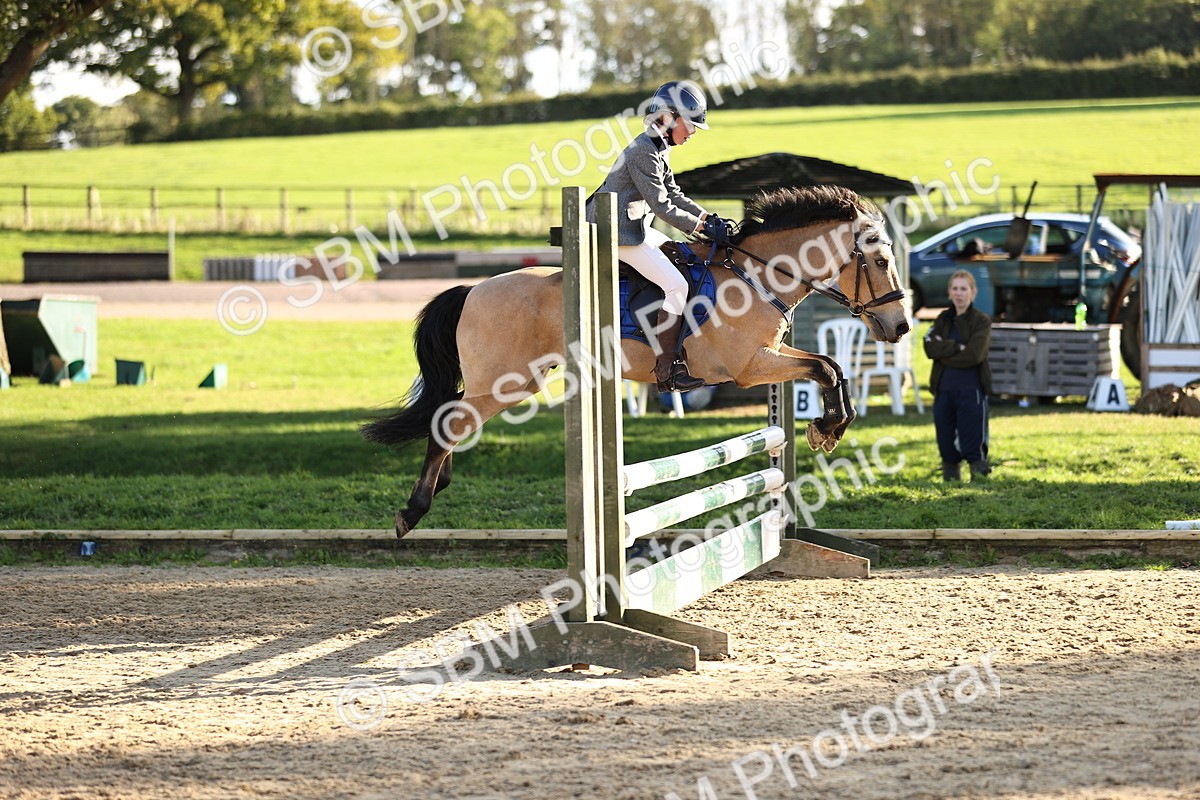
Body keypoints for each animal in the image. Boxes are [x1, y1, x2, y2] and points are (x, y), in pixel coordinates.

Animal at [363, 185, 911, 537]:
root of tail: (474, 288)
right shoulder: (749, 367)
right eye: (881, 260)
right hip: (507, 383)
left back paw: (437, 485)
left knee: (451, 418)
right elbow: (824, 367)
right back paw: (413, 510)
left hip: (511, 382)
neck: (758, 276)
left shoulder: (771, 355)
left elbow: (830, 366)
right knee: (448, 420)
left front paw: (829, 428)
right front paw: (827, 427)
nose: (901, 326)